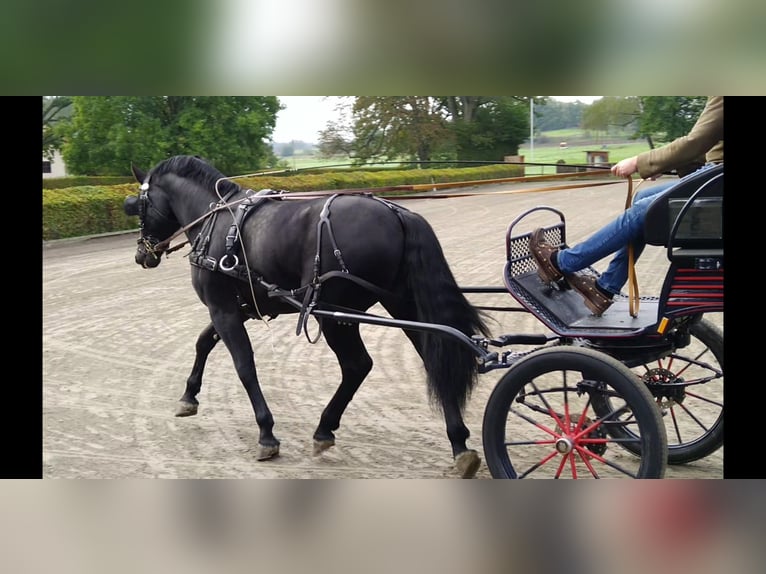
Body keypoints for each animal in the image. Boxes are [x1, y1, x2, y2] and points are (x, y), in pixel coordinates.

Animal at [123, 155, 488, 480]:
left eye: (138, 205)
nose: (142, 254)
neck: (217, 220)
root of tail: (396, 212)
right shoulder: (235, 308)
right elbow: (203, 343)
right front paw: (188, 397)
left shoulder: (222, 308)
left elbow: (244, 366)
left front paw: (266, 433)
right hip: (400, 304)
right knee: (434, 355)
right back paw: (459, 444)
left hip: (337, 315)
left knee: (357, 365)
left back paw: (325, 428)